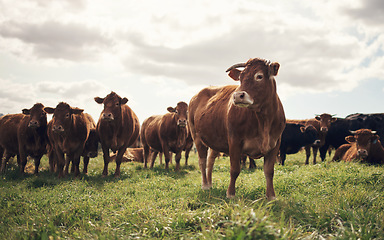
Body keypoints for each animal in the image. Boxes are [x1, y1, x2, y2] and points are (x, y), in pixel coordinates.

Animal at [188, 57, 284, 200]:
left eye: (259, 76)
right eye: (241, 78)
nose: (238, 95)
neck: (264, 121)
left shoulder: (275, 143)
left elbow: (269, 171)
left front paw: (271, 196)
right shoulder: (234, 141)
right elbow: (234, 170)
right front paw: (231, 194)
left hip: (214, 140)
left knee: (210, 161)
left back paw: (210, 184)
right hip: (197, 137)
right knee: (202, 161)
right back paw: (205, 185)